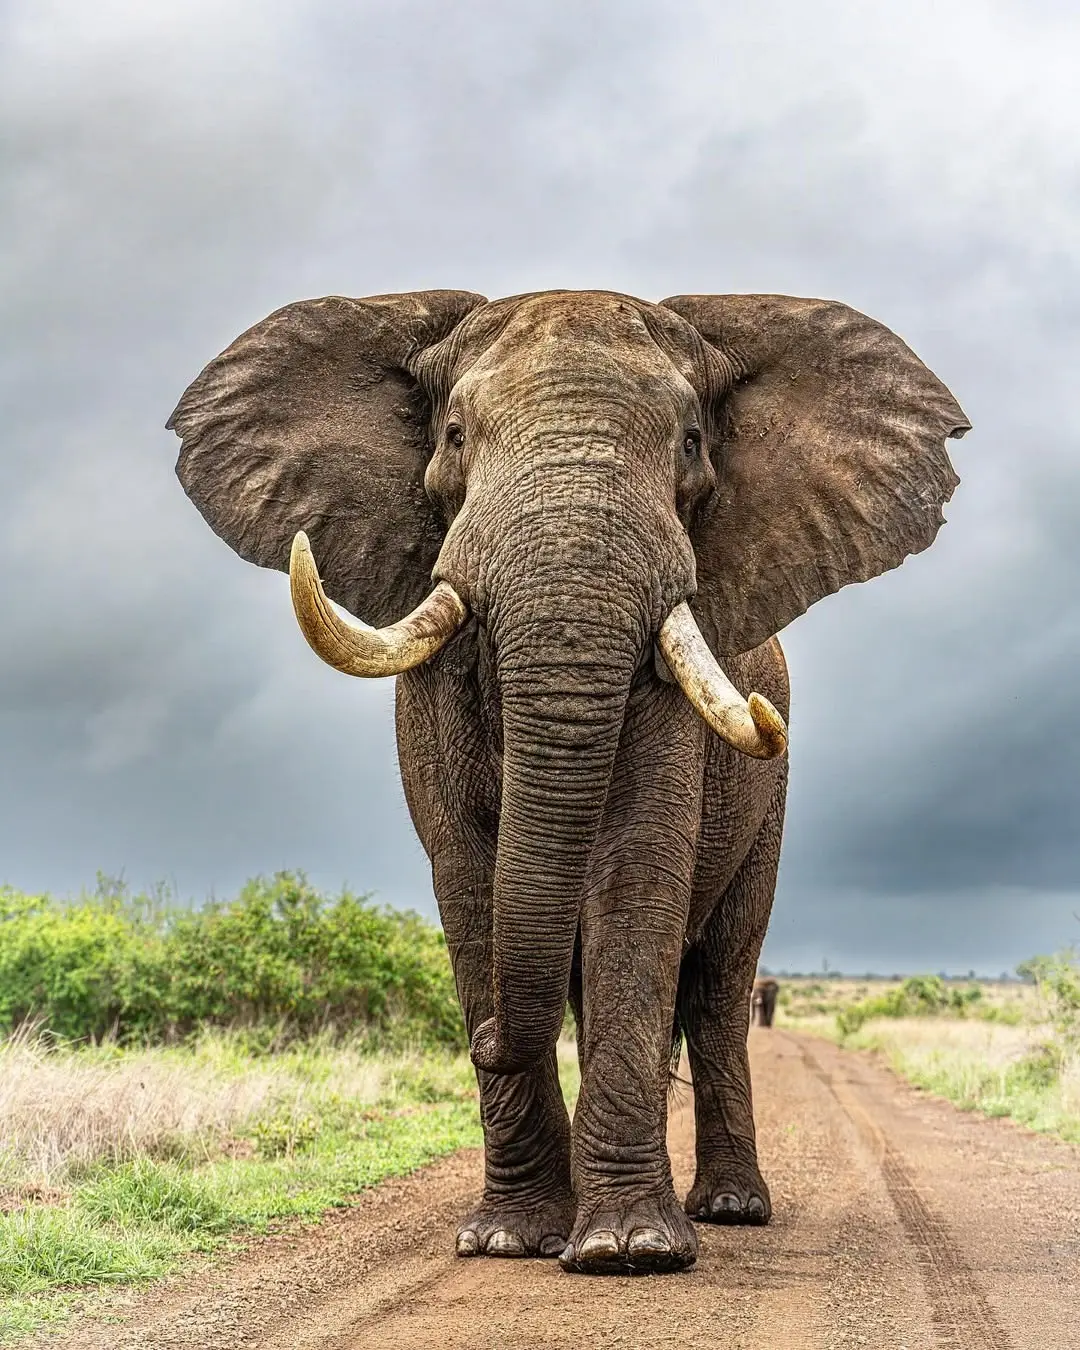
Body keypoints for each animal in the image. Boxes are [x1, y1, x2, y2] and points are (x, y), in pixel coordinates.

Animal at [169, 287, 968, 1275]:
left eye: (692, 443)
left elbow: (636, 874)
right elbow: (469, 883)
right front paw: (508, 1240)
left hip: (772, 804)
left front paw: (631, 1250)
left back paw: (730, 1208)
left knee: (716, 987)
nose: (479, 1041)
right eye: (456, 434)